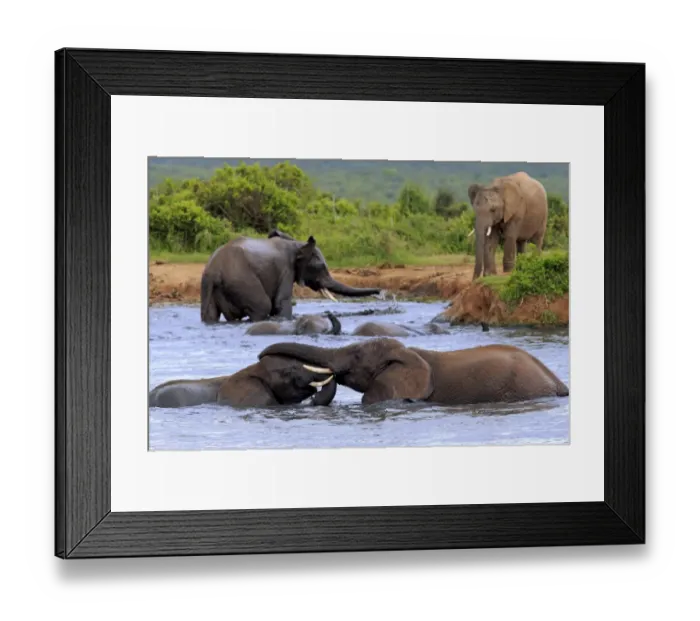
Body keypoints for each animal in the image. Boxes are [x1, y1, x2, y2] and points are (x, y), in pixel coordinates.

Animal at [200, 230, 383, 323]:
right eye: (320, 268)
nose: (381, 293)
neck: (297, 244)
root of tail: (214, 271)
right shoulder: (285, 269)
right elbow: (280, 303)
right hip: (241, 280)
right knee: (262, 306)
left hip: (209, 287)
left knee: (211, 315)